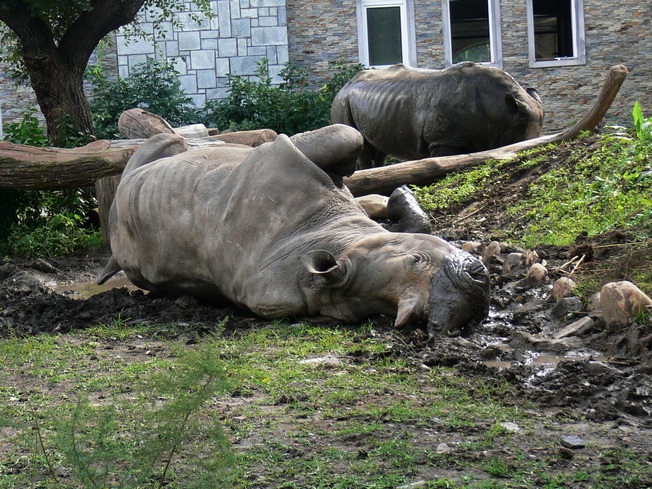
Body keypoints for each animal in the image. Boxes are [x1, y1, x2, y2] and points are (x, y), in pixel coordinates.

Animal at [99, 124, 490, 336]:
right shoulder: (282, 160)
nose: (475, 283)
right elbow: (347, 136)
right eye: (416, 260)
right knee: (159, 147)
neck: (334, 234)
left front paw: (397, 199)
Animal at [331, 62, 544, 168]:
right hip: (341, 102)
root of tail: (343, 86)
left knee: (379, 148)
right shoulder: (443, 141)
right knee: (363, 147)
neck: (501, 112)